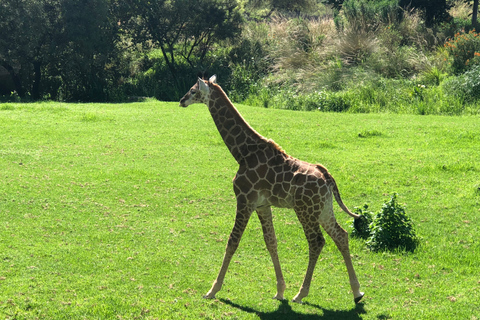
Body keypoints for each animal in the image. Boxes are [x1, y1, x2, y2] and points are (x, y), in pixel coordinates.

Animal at [179, 75, 364, 304]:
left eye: (193, 90)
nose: (181, 100)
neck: (242, 153)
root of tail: (328, 179)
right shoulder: (262, 205)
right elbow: (271, 242)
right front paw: (280, 291)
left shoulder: (245, 199)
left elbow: (232, 241)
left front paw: (212, 290)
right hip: (323, 209)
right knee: (341, 235)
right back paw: (357, 292)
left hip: (305, 210)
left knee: (317, 242)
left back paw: (301, 293)